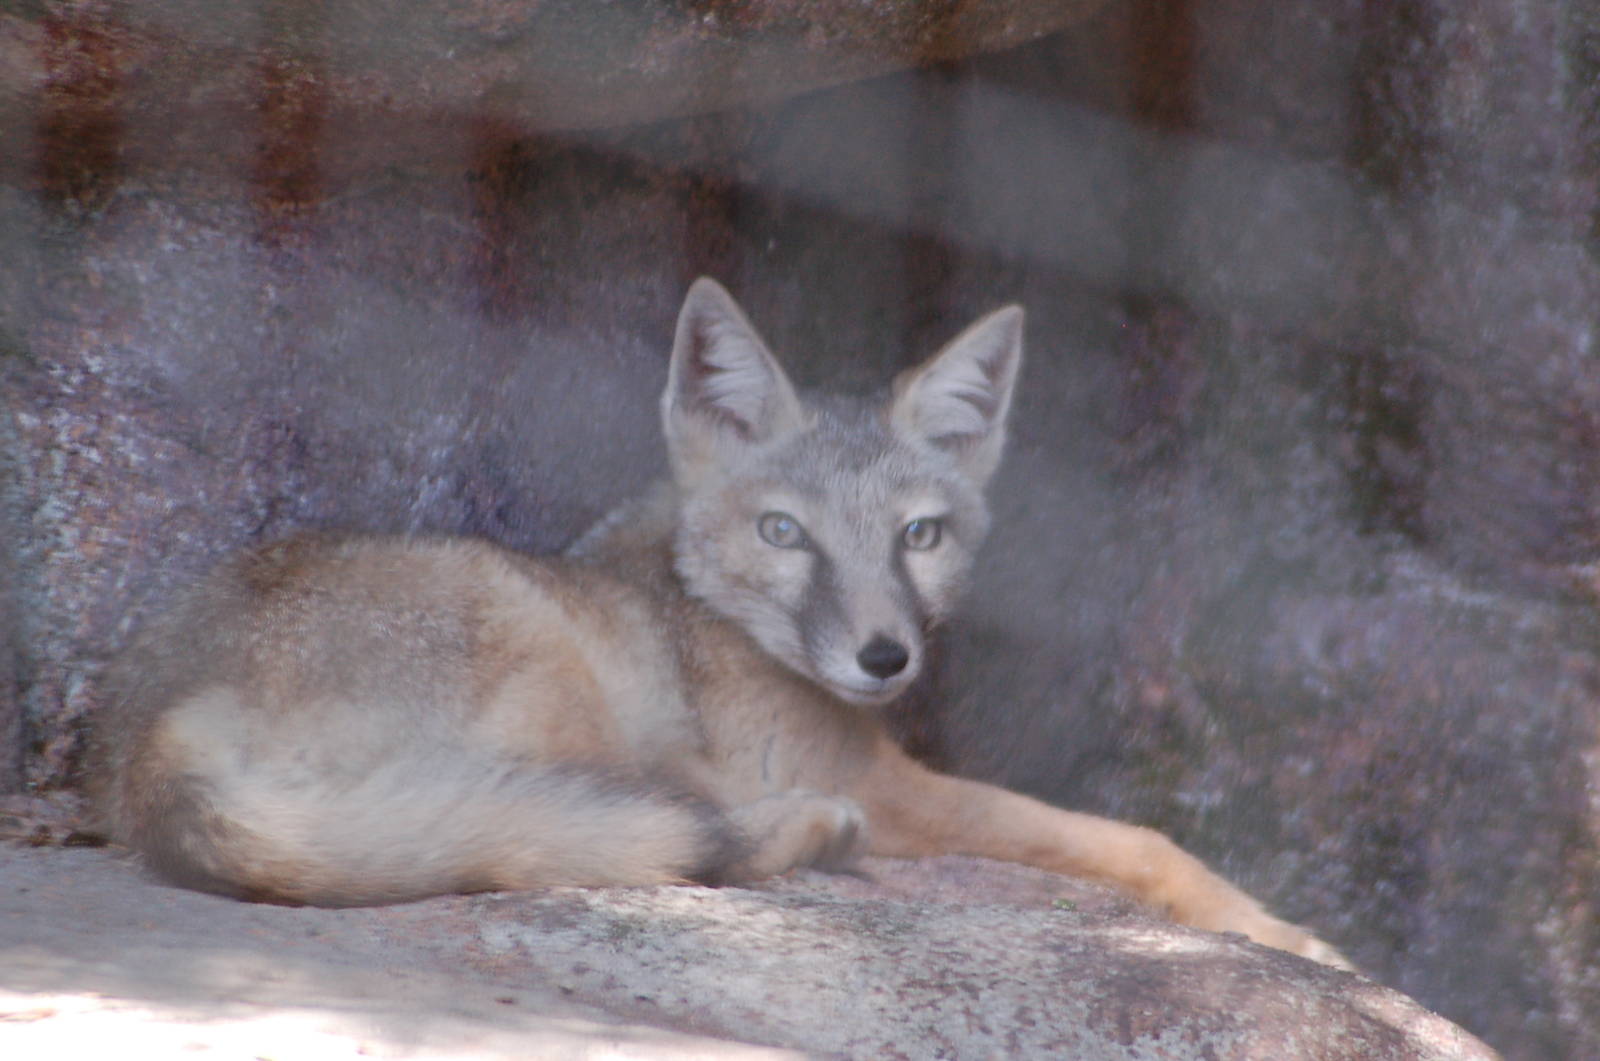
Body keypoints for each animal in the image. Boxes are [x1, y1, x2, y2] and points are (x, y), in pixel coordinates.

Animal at [86, 277, 1347, 968]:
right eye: (786, 532)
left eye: (920, 536)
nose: (884, 656)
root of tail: (154, 730)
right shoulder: (891, 782)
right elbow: (1132, 838)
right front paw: (1289, 934)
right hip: (553, 668)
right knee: (625, 831)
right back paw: (801, 832)